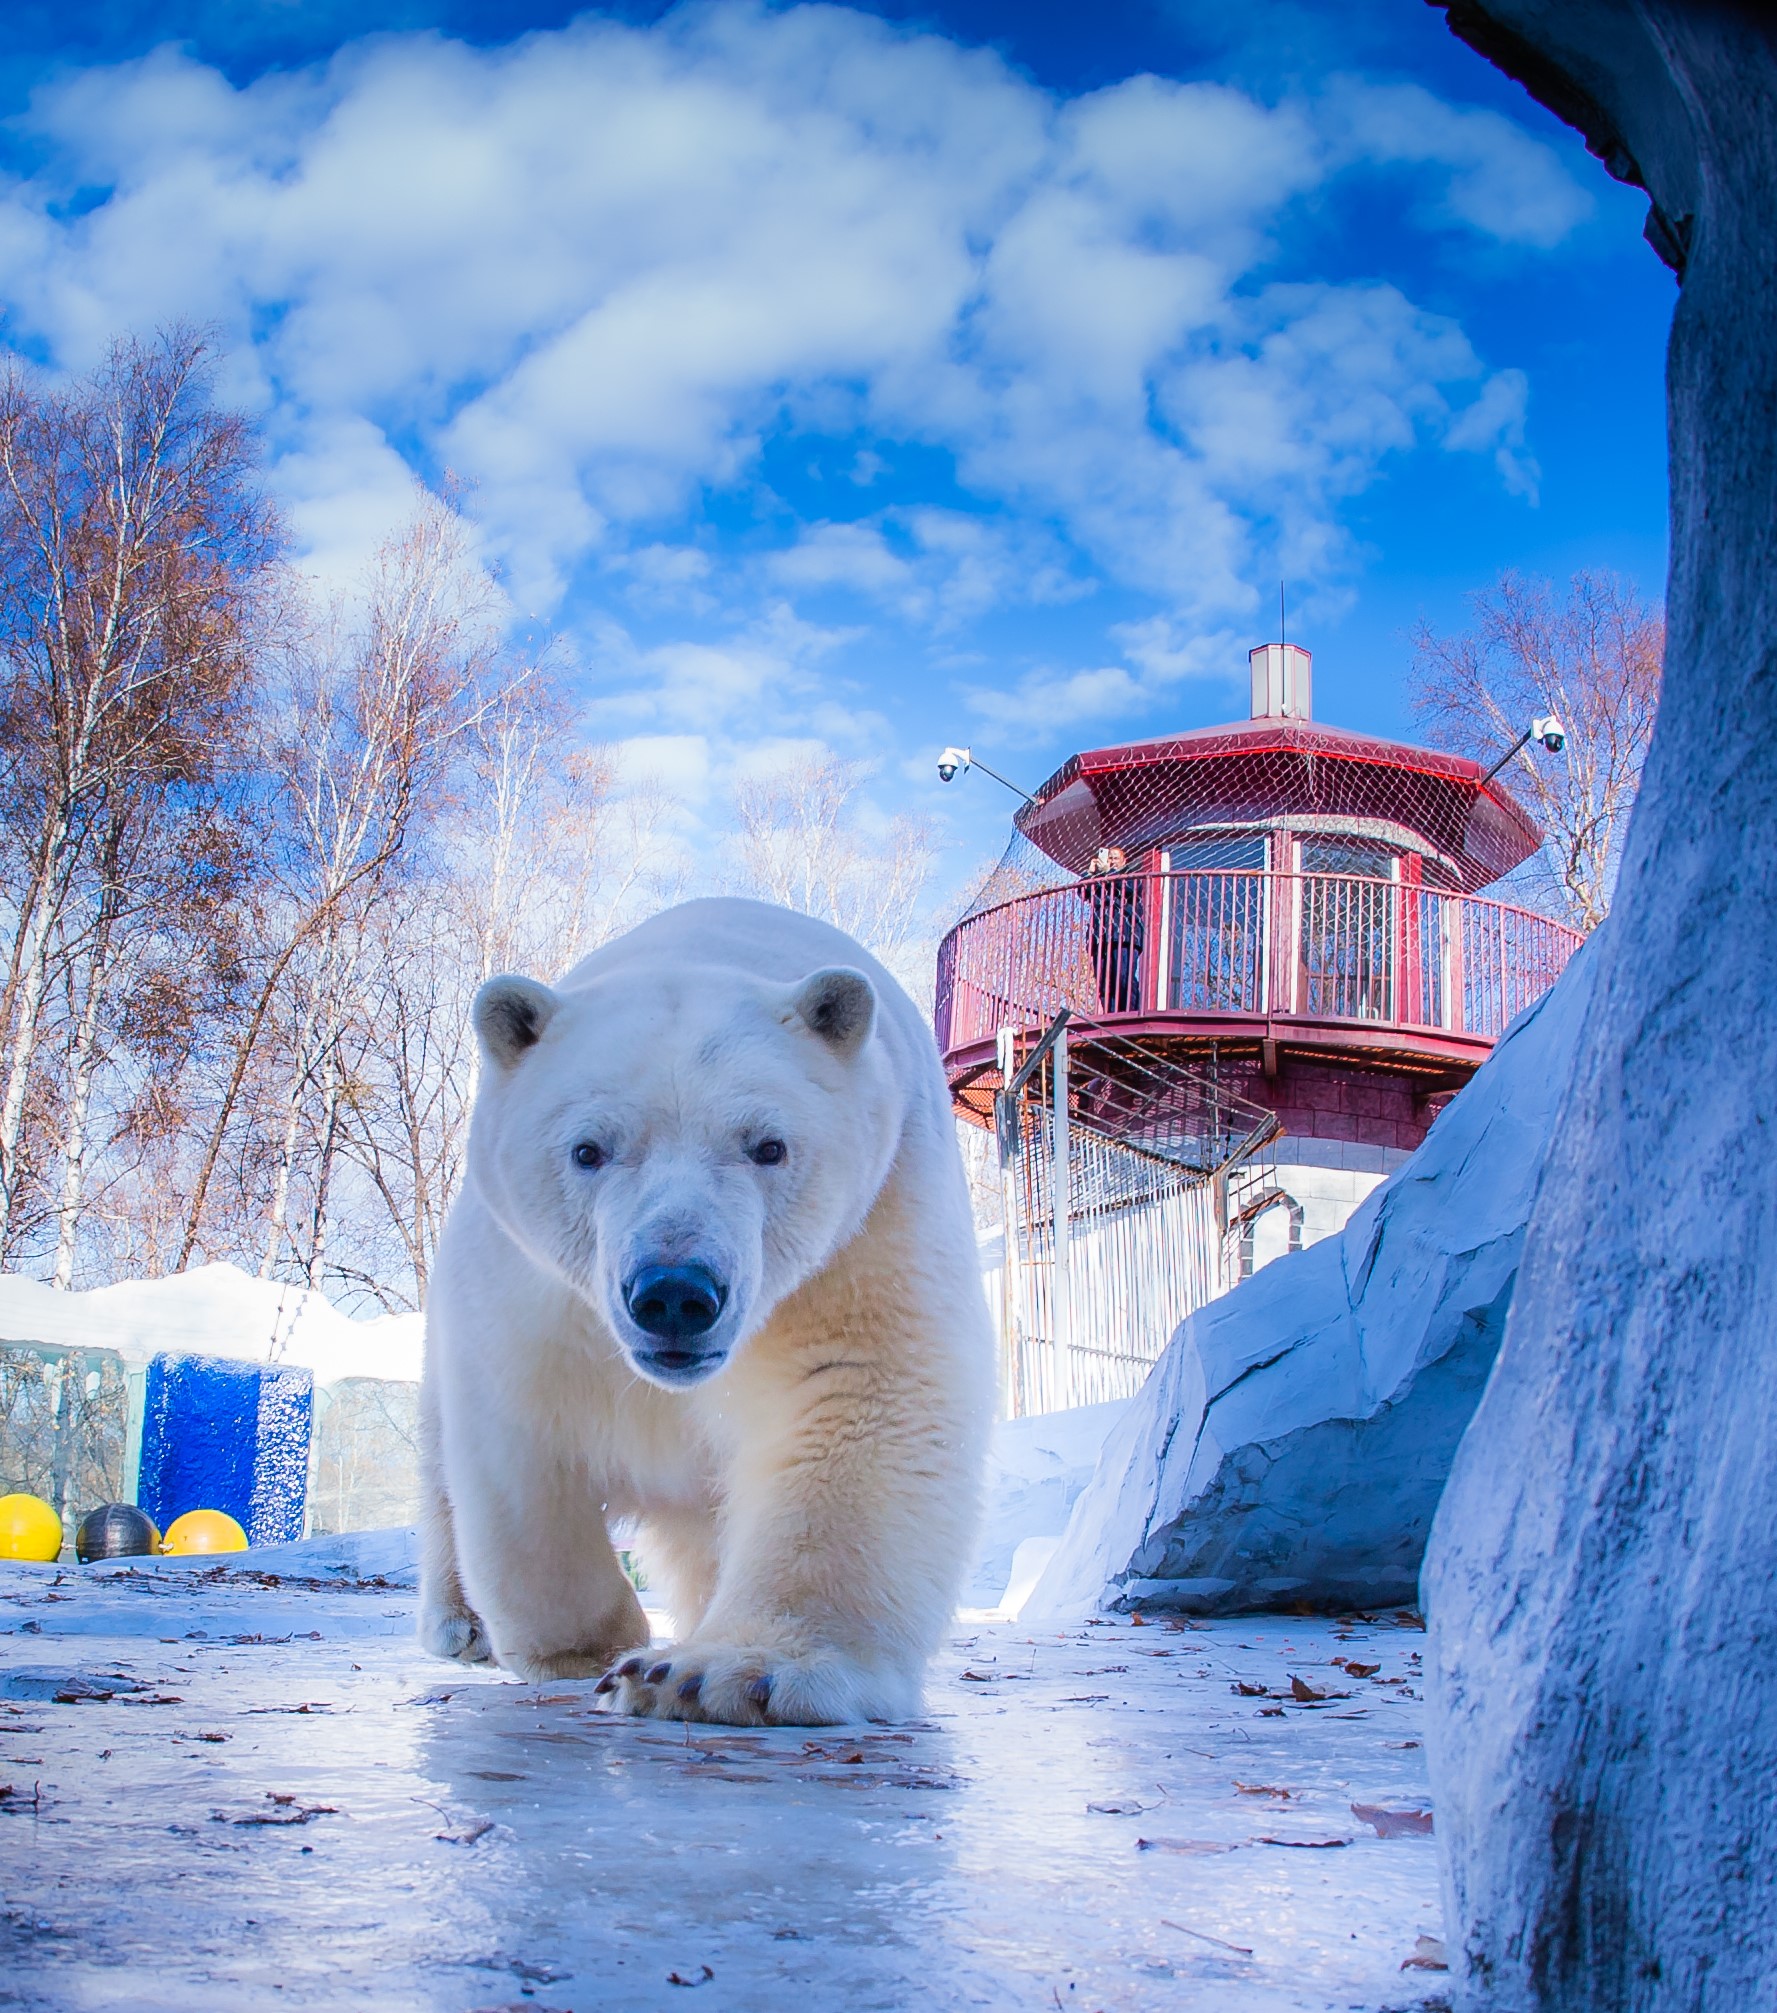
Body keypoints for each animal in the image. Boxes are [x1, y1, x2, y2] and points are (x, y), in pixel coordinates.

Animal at [418, 901, 1002, 1731]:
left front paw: (712, 1673)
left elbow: (862, 1392)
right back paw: (461, 1622)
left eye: (768, 1145)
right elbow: (524, 1422)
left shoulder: (871, 1222)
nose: (674, 1293)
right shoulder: (530, 1281)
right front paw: (584, 1645)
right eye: (587, 1148)